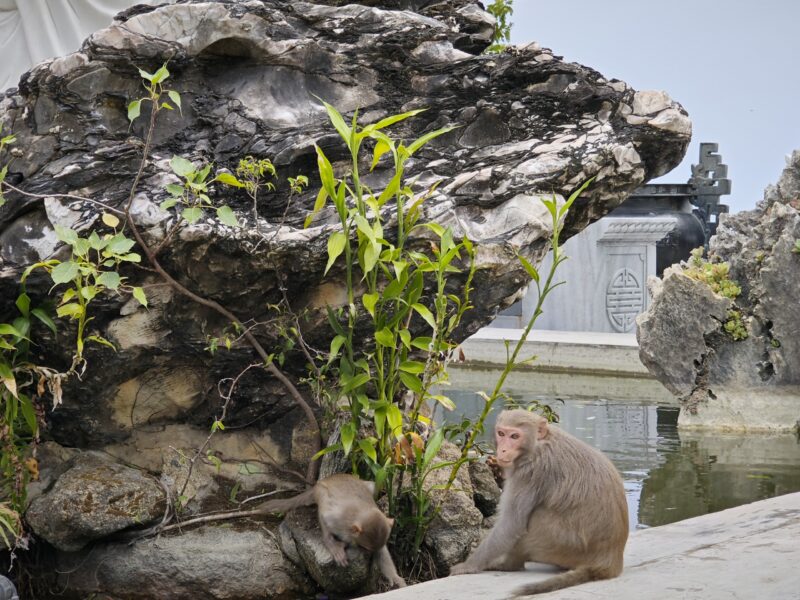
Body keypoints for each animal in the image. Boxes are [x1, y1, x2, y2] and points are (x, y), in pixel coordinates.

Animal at [258, 474, 406, 584]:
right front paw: (332, 545)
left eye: (371, 550)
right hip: (321, 491)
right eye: (365, 548)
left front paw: (395, 578)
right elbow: (325, 517)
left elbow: (383, 551)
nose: (370, 555)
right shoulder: (338, 519)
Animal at [450, 408, 624, 596]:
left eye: (514, 436)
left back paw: (509, 564)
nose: (502, 450)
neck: (537, 443)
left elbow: (511, 523)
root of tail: (611, 559)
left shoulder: (529, 471)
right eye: (501, 433)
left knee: (534, 519)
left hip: (563, 545)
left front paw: (468, 565)